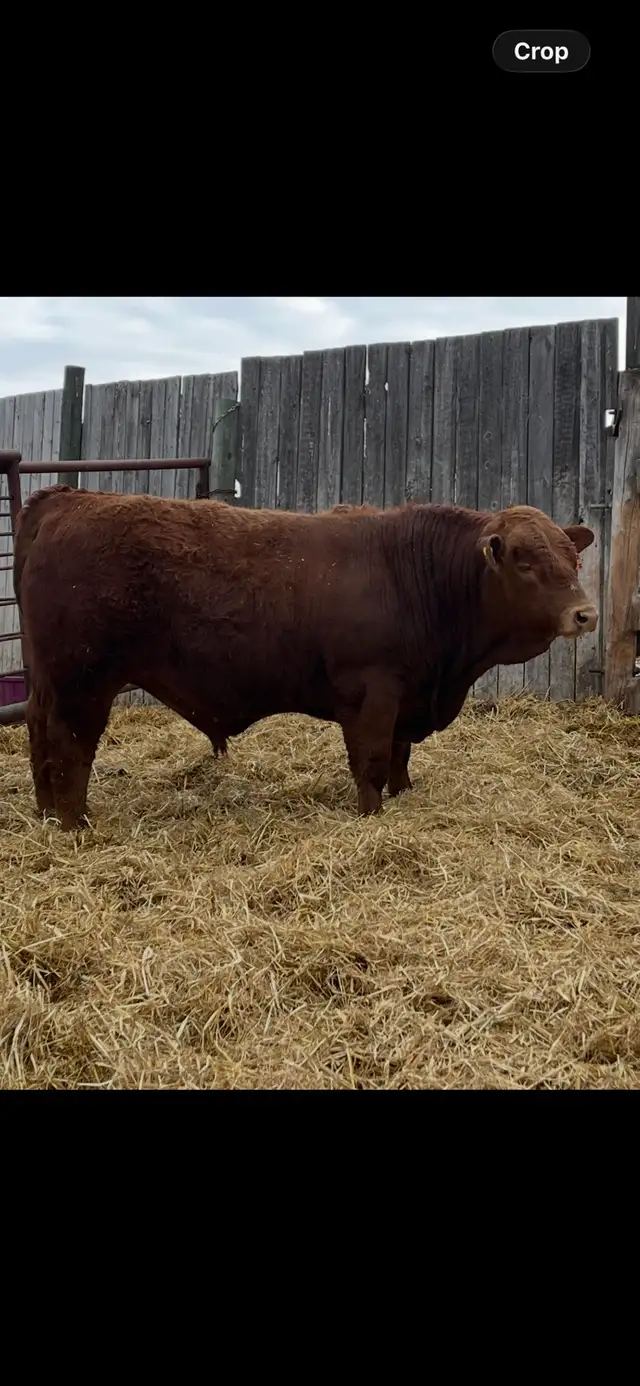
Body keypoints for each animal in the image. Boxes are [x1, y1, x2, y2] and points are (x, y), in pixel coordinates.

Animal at [13, 486, 597, 830]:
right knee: (70, 747)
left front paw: (404, 795)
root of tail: (71, 497)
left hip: (50, 680)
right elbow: (372, 760)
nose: (585, 614)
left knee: (39, 734)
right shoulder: (371, 690)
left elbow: (401, 755)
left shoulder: (409, 692)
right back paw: (76, 823)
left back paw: (45, 814)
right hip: (83, 681)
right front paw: (371, 818)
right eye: (524, 560)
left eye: (572, 558)